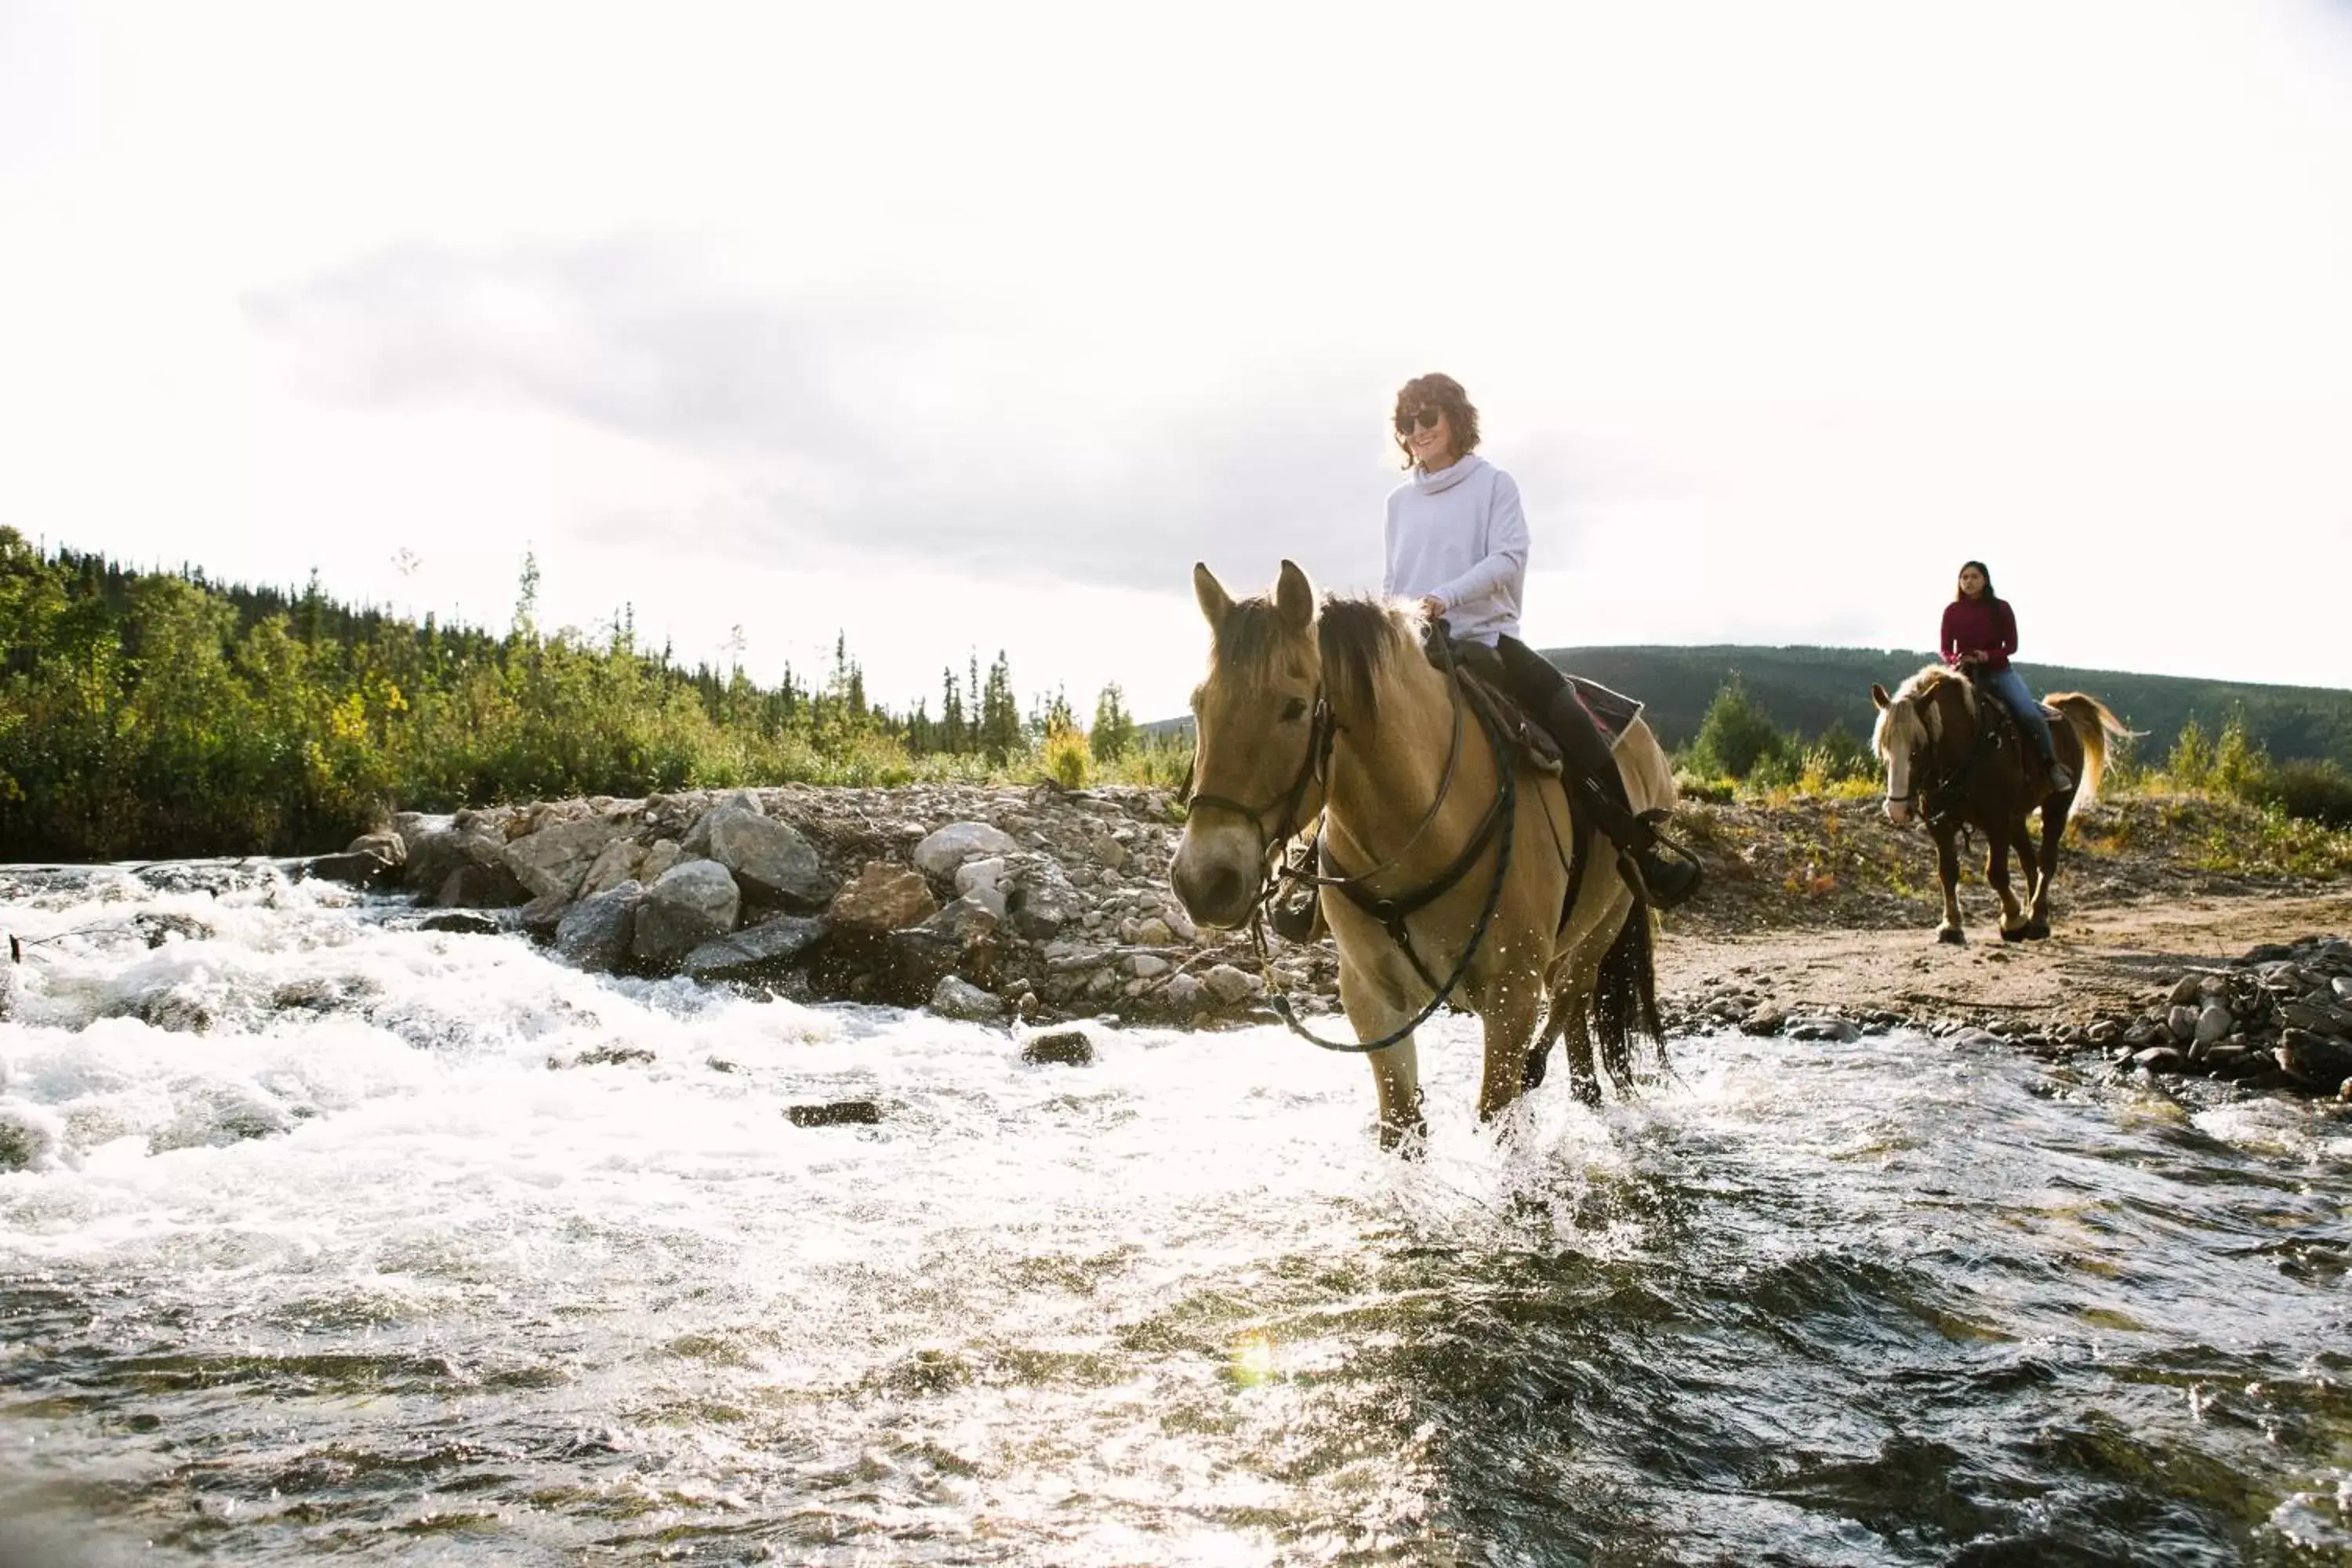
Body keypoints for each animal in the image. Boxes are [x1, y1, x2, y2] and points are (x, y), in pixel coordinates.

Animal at [1171, 557, 1684, 1147]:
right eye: (1198, 704)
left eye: (1295, 708)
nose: (1203, 881)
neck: (1419, 833)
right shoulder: (1372, 1001)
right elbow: (1401, 1125)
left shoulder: (1510, 997)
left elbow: (1499, 1120)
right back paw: (1585, 1093)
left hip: (1607, 922)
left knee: (1572, 994)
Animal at [1872, 667, 2136, 945]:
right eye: (1885, 748)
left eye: (1917, 749)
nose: (1897, 810)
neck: (1967, 744)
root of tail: (2060, 713)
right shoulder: (1941, 823)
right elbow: (1948, 872)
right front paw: (1951, 926)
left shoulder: (1996, 819)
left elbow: (1996, 873)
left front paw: (2012, 921)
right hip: (2016, 820)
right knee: (2029, 862)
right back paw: (2034, 915)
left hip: (2056, 808)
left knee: (2046, 861)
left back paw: (2038, 919)